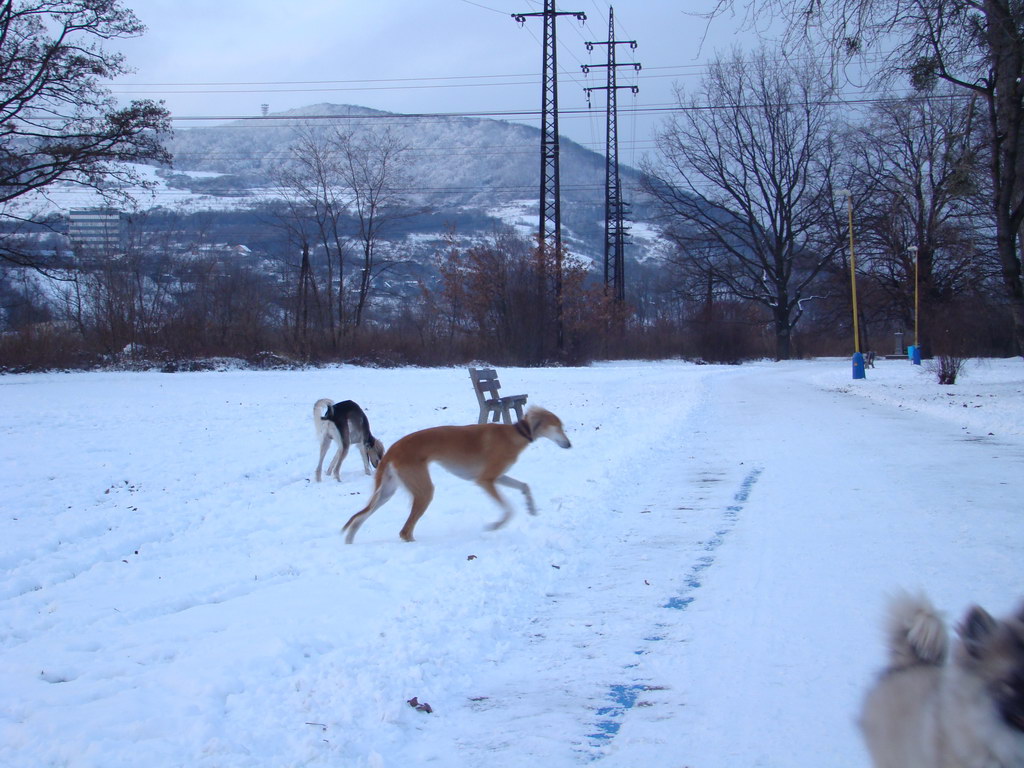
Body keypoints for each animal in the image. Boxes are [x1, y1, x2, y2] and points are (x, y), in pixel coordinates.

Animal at [342, 405, 569, 544]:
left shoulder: (496, 477)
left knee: (359, 518)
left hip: (387, 491)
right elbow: (509, 510)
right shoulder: (485, 480)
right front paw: (495, 525)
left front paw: (531, 507)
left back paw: (350, 540)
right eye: (557, 426)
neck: (515, 434)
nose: (569, 444)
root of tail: (392, 450)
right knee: (404, 531)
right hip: (424, 490)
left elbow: (524, 486)